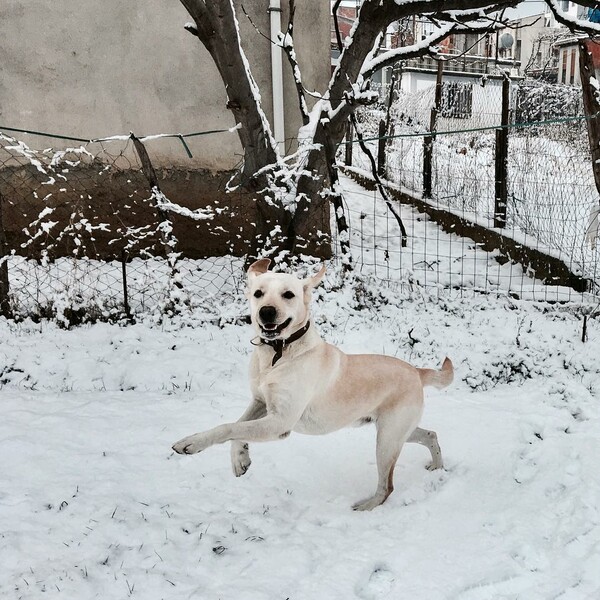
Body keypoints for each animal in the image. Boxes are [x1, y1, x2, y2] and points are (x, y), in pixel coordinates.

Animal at [171, 258, 452, 510]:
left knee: (387, 487)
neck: (278, 353)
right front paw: (240, 459)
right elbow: (238, 425)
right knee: (431, 434)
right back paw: (438, 465)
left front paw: (192, 442)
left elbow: (228, 426)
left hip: (387, 439)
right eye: (258, 293)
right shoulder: (261, 401)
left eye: (288, 294)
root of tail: (416, 371)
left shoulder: (280, 422)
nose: (266, 311)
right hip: (396, 431)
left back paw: (368, 506)